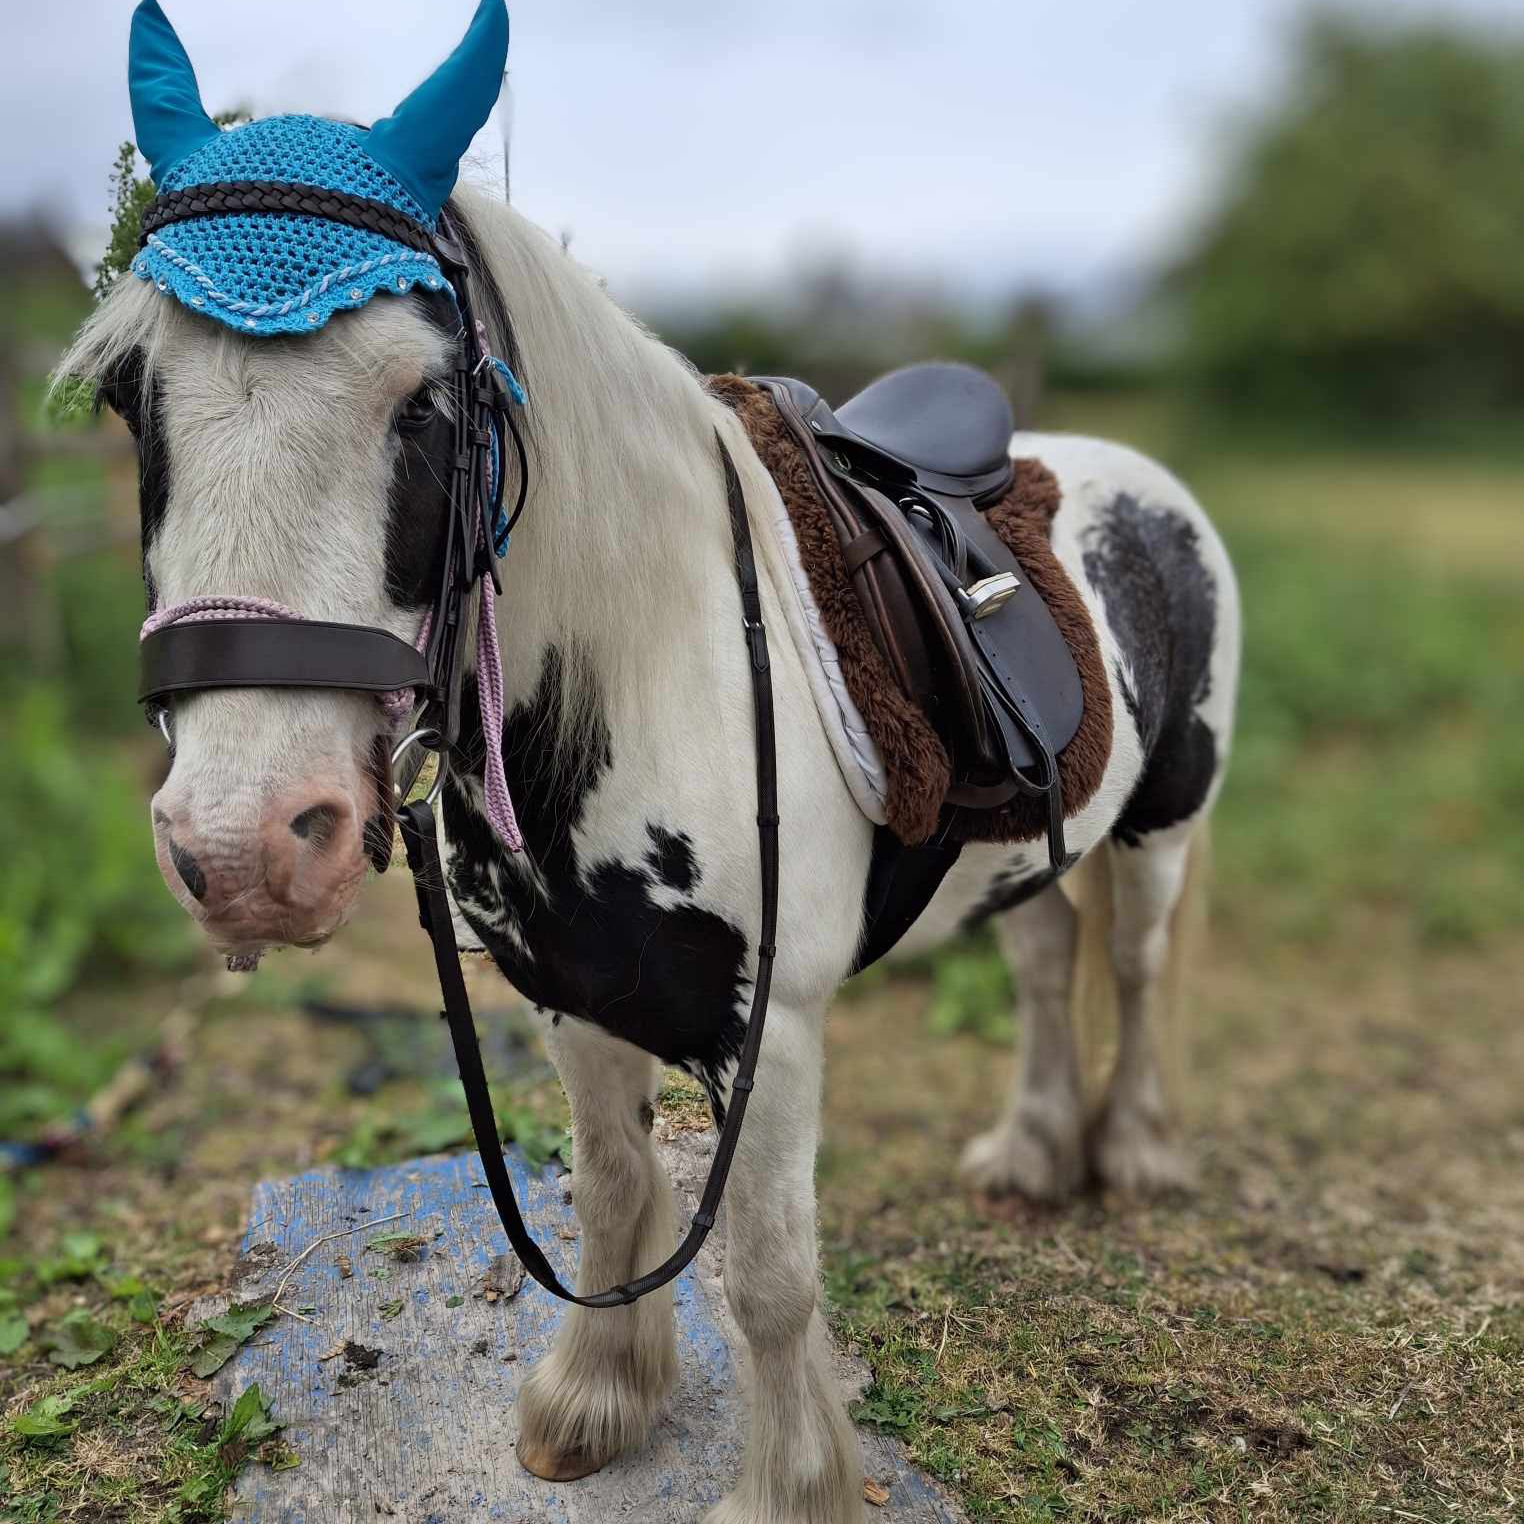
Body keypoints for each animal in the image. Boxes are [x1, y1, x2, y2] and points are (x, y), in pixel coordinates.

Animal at [62, 3, 1240, 1519]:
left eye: (425, 404)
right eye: (129, 398)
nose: (248, 847)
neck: (658, 657)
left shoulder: (771, 1034)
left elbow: (772, 1280)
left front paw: (791, 1486)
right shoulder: (575, 995)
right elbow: (617, 1196)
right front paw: (595, 1402)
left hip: (1163, 825)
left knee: (1136, 971)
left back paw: (1134, 1154)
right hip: (1035, 850)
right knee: (1044, 964)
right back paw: (1033, 1157)